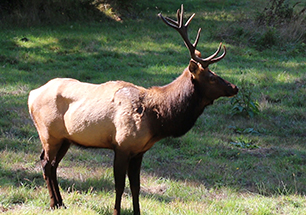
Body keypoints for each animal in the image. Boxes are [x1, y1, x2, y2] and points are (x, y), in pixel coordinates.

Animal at [28, 5, 239, 215]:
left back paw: (60, 203)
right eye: (211, 77)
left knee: (52, 164)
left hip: (65, 138)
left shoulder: (139, 151)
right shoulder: (122, 145)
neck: (157, 121)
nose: (234, 87)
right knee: (47, 163)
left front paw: (137, 211)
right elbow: (119, 186)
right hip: (49, 134)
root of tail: (31, 94)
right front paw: (116, 211)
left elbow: (136, 186)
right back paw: (53, 203)